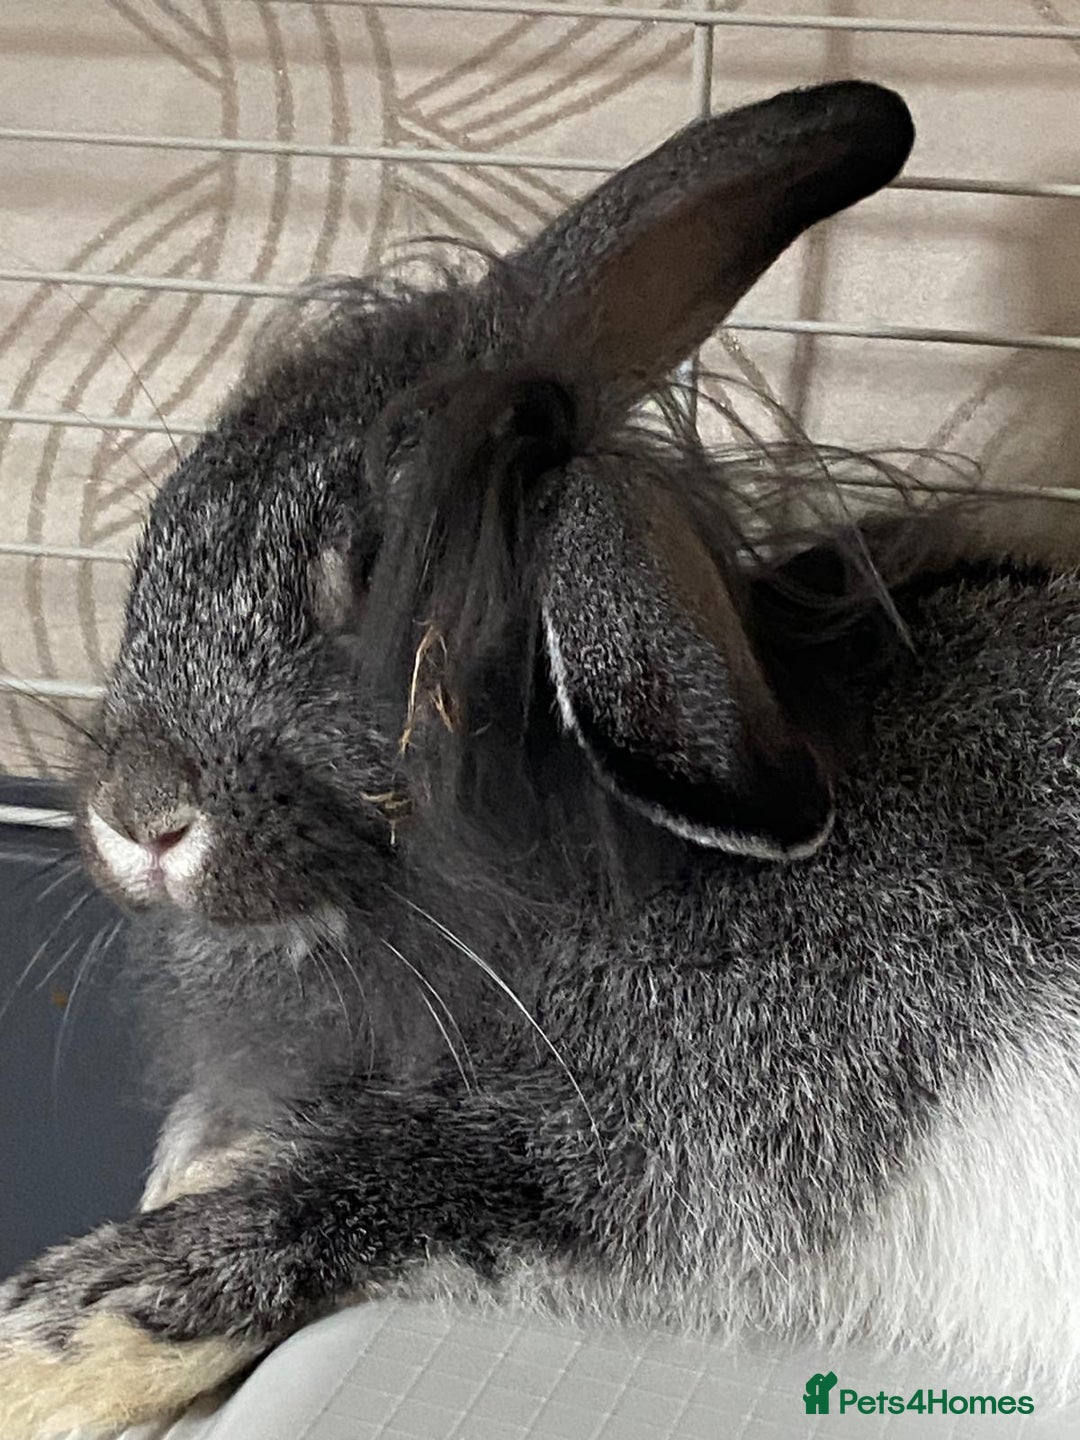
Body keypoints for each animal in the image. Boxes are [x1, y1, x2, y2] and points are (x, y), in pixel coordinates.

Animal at [3, 77, 1078, 1438]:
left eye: (395, 597)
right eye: (162, 525)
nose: (137, 816)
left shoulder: (662, 1133)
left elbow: (354, 1190)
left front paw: (43, 1349)